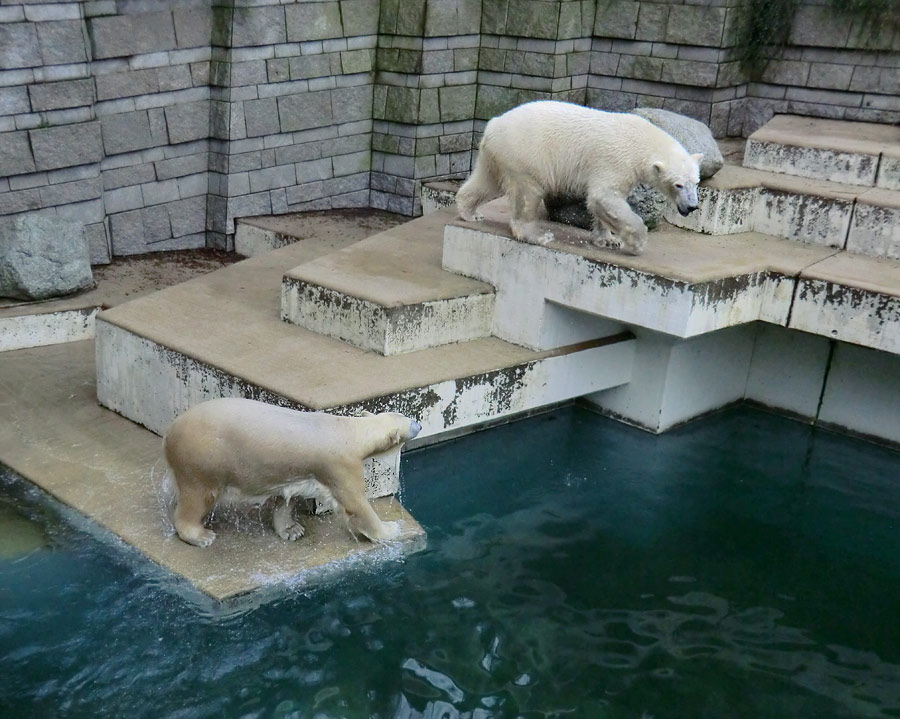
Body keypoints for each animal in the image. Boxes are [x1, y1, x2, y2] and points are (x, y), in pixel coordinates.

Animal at [458, 101, 704, 256]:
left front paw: (608, 239)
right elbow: (603, 196)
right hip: (525, 154)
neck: (642, 141)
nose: (692, 206)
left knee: (487, 181)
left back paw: (470, 212)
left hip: (497, 154)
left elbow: (605, 202)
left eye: (696, 182)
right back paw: (538, 235)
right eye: (678, 185)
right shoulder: (617, 161)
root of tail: (493, 124)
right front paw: (636, 242)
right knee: (528, 193)